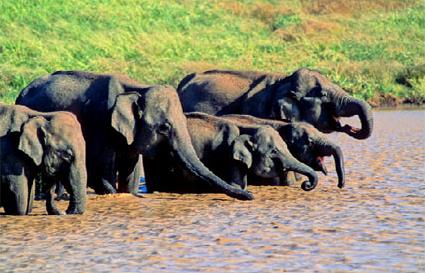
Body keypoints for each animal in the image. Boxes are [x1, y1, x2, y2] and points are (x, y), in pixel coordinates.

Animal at [15, 70, 252, 200]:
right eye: (164, 128)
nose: (250, 195)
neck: (139, 87)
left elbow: (129, 169)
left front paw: (130, 193)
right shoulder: (102, 122)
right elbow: (102, 169)